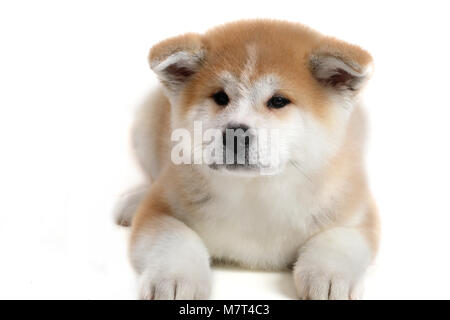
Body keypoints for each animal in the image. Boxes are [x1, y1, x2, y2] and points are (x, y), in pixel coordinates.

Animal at [115, 19, 380, 300]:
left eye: (278, 101)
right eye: (221, 97)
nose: (235, 134)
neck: (255, 193)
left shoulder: (358, 208)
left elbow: (339, 237)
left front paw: (330, 275)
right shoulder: (162, 205)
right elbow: (175, 237)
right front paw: (175, 276)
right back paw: (133, 202)